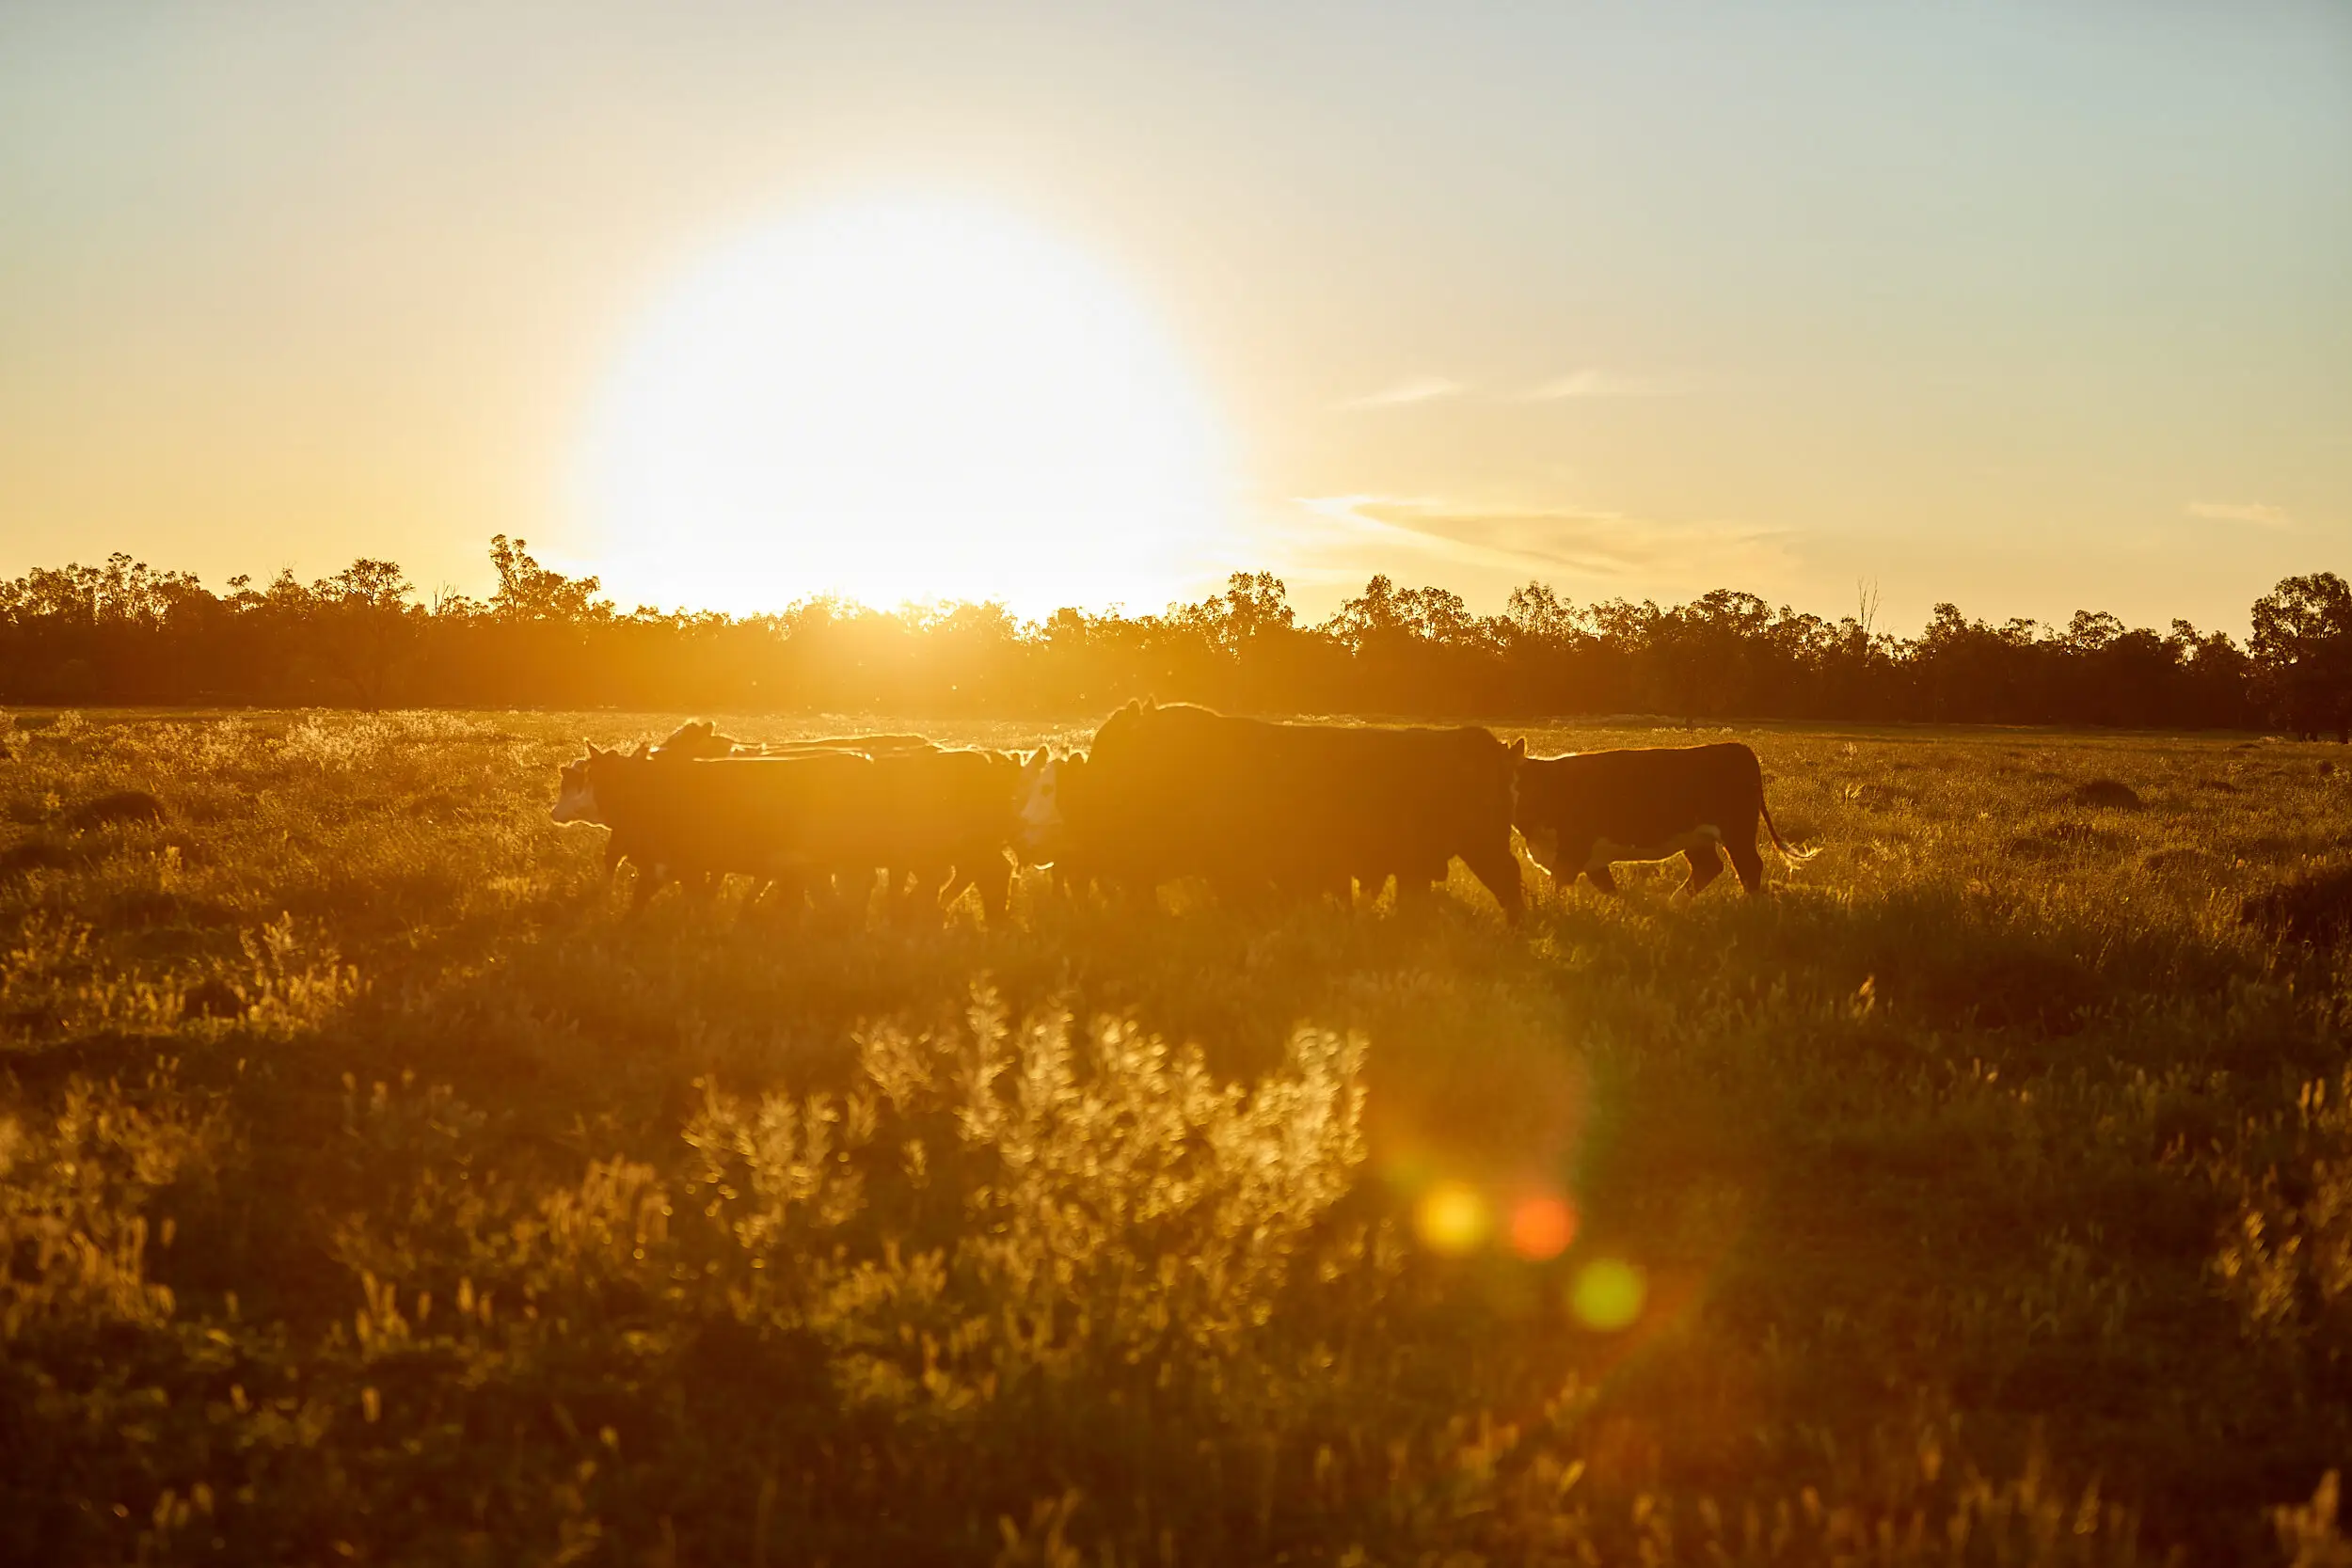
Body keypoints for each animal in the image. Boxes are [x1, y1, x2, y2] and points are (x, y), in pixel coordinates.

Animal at [1017, 700, 1524, 919]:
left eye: (1057, 788)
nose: (1028, 837)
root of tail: (1489, 745)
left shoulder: (1236, 871)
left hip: (1483, 846)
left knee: (1509, 882)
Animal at [1512, 742, 1810, 898]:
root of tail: (1737, 747)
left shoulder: (1573, 850)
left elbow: (1558, 887)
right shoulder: (1587, 858)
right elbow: (1608, 889)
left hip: (1737, 831)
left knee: (1748, 867)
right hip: (1697, 837)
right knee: (1708, 867)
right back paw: (1675, 902)